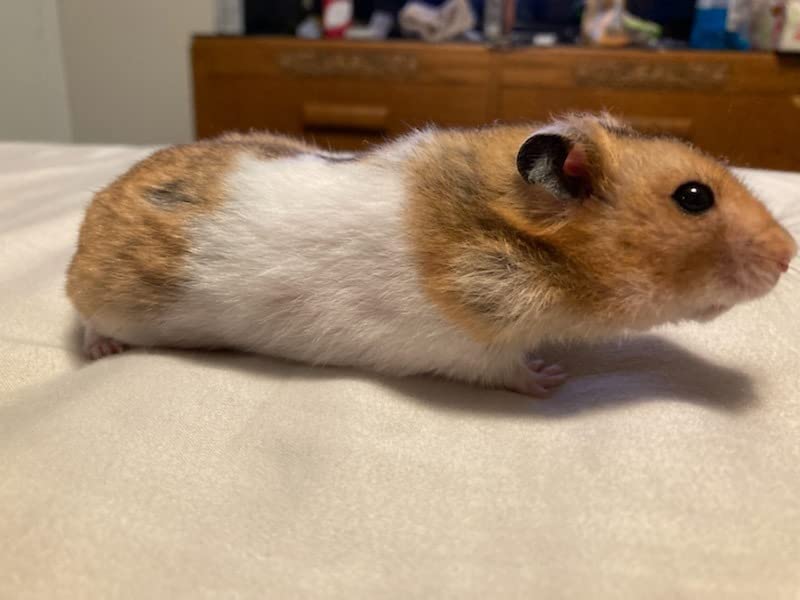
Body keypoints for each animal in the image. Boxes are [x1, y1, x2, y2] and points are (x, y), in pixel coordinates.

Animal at [66, 114, 797, 396]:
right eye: (694, 196)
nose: (790, 253)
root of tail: (90, 218)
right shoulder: (474, 347)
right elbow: (512, 370)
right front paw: (552, 378)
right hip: (111, 301)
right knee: (87, 319)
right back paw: (102, 350)